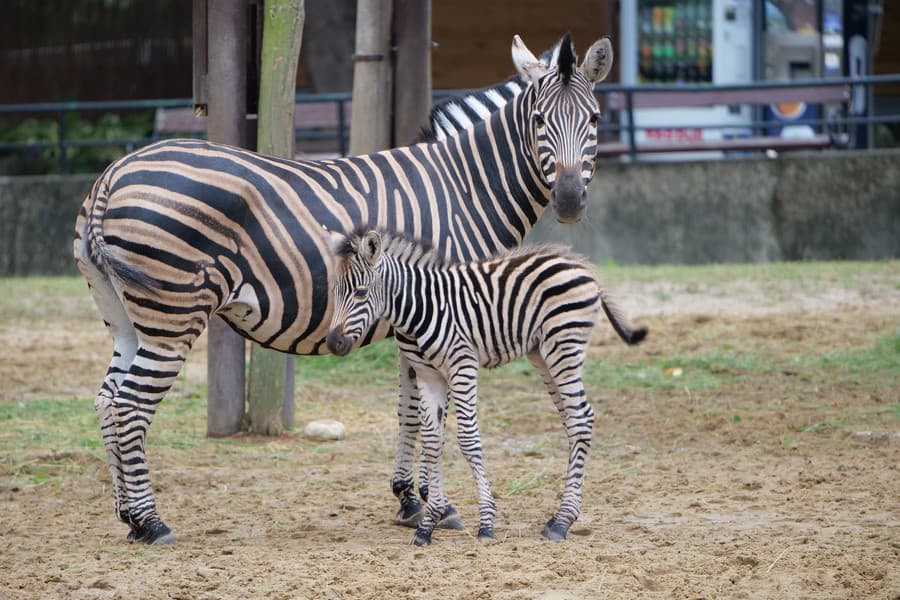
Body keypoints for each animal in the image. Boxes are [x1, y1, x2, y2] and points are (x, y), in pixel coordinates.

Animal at [75, 35, 612, 548]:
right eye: (539, 120)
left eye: (594, 119)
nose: (569, 201)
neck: (464, 189)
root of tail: (113, 174)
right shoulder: (438, 307)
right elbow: (425, 415)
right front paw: (434, 506)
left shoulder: (418, 318)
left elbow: (410, 410)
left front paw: (410, 500)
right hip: (172, 317)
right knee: (130, 406)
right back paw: (153, 523)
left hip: (125, 318)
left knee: (106, 400)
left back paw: (129, 519)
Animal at [326, 229, 648, 544]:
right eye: (335, 292)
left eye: (361, 292)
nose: (333, 343)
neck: (422, 305)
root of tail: (580, 264)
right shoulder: (430, 375)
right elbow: (432, 442)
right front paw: (428, 525)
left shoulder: (462, 365)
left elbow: (468, 439)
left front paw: (486, 523)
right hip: (542, 354)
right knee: (574, 419)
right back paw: (558, 518)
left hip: (563, 346)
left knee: (581, 419)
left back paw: (562, 521)